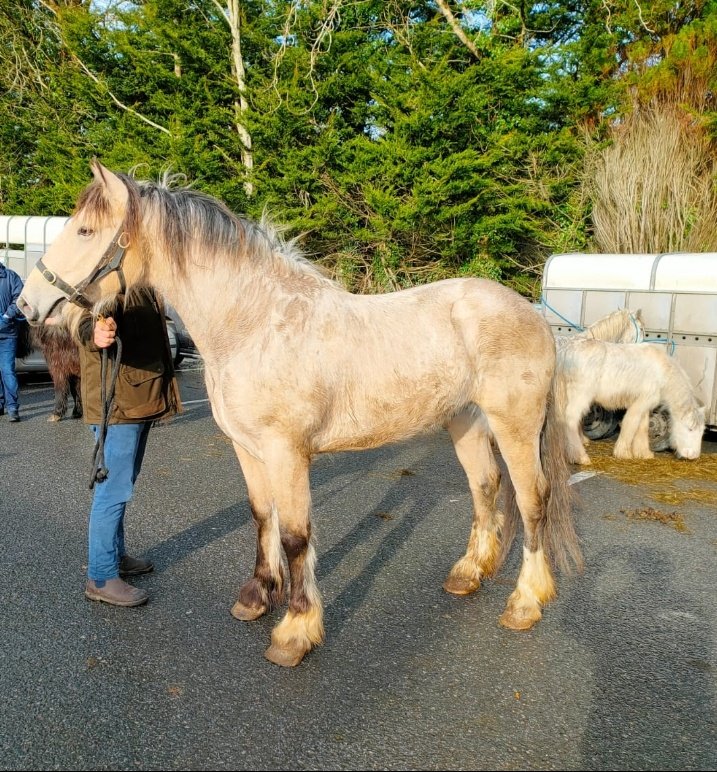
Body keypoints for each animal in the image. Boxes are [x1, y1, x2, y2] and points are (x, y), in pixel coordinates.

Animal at [17, 160, 583, 667]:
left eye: (85, 230)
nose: (26, 304)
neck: (253, 324)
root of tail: (532, 315)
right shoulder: (247, 448)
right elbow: (262, 517)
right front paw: (257, 597)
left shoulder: (286, 452)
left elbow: (294, 536)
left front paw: (295, 630)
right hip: (464, 421)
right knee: (485, 487)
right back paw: (468, 574)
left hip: (514, 428)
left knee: (532, 501)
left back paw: (525, 602)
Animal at [555, 338, 705, 464]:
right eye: (690, 429)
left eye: (702, 432)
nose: (693, 455)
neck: (662, 371)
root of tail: (565, 352)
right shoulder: (640, 402)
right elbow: (630, 424)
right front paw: (623, 453)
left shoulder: (645, 405)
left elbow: (643, 427)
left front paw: (643, 453)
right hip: (580, 395)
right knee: (570, 420)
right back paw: (581, 457)